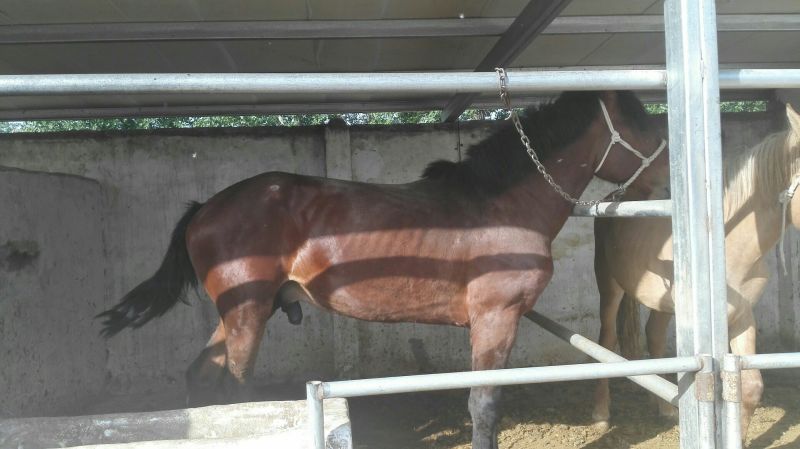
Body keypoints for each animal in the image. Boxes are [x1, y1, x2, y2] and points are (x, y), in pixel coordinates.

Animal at [97, 90, 667, 449]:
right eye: (641, 122)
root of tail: (206, 207)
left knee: (203, 377)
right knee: (235, 389)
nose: (666, 176)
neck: (502, 207)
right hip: (247, 313)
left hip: (238, 313)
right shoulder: (495, 319)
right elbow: (484, 405)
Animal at [592, 104, 800, 441]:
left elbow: (751, 386)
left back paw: (664, 408)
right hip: (609, 286)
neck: (724, 245)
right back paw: (600, 414)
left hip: (661, 302)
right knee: (606, 340)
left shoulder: (743, 316)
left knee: (654, 335)